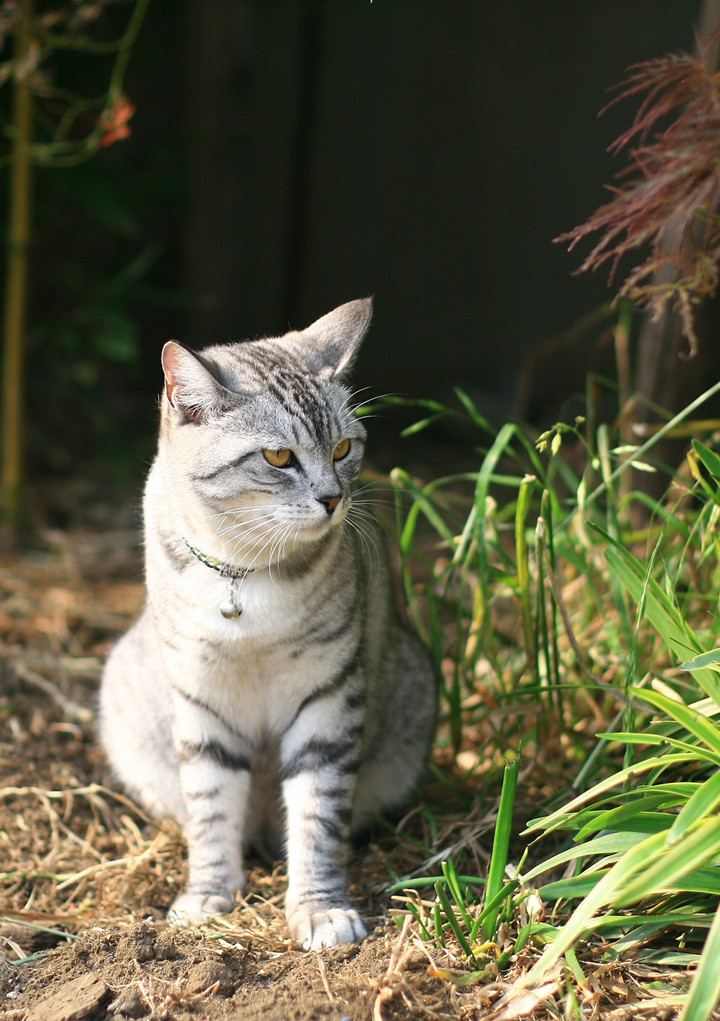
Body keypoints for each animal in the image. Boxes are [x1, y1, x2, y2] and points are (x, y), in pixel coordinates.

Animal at [99, 298, 437, 951]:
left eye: (343, 449)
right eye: (279, 456)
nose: (333, 499)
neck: (244, 570)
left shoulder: (329, 695)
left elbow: (317, 816)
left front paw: (319, 909)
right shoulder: (200, 698)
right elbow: (210, 808)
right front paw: (207, 898)